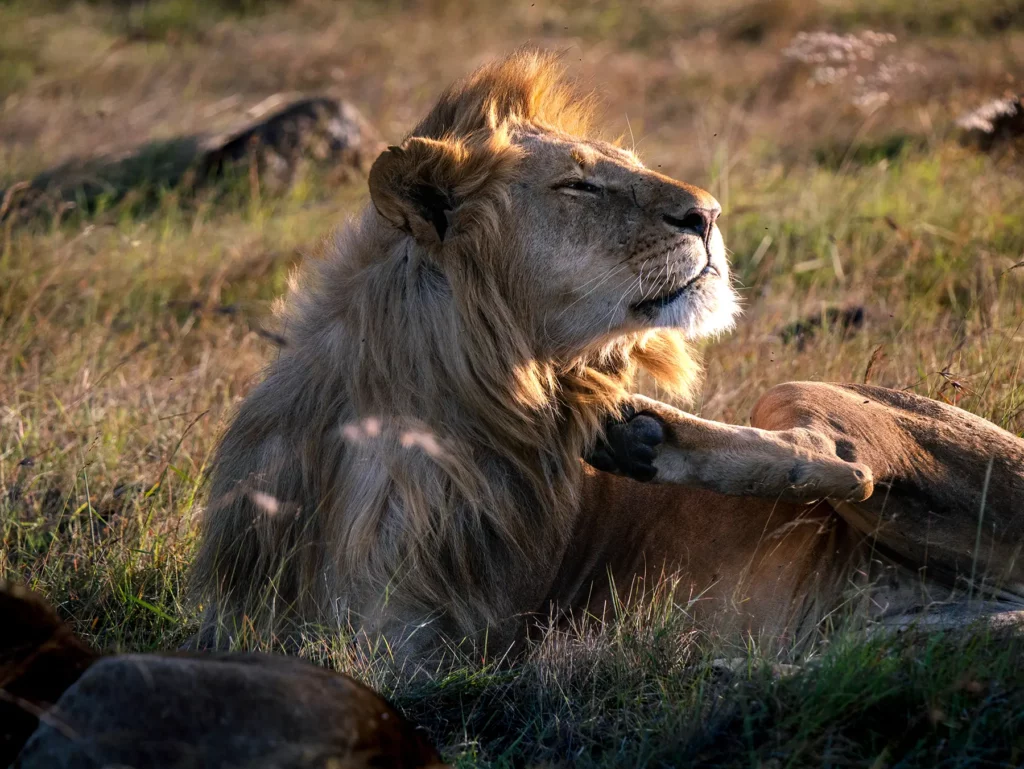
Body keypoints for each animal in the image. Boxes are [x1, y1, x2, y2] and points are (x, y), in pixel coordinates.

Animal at [192, 49, 1024, 667]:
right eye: (580, 183)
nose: (709, 213)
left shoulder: (467, 630)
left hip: (808, 395)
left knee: (848, 461)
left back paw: (641, 436)